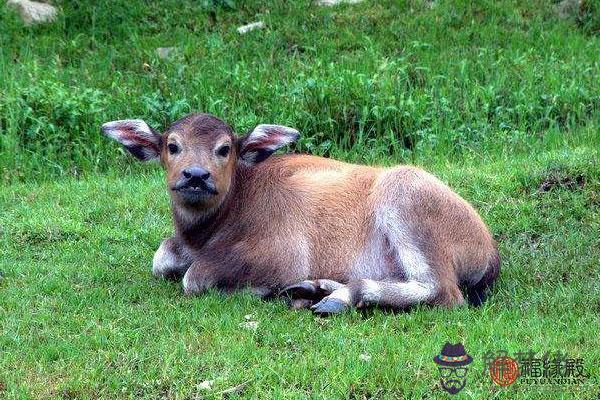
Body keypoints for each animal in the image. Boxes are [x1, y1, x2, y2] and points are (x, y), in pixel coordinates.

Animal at [102, 111, 496, 314]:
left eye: (225, 148)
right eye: (172, 145)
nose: (196, 176)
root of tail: (490, 251)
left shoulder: (283, 255)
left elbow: (194, 277)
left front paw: (263, 291)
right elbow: (162, 259)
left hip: (405, 198)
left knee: (443, 292)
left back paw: (334, 298)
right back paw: (317, 288)